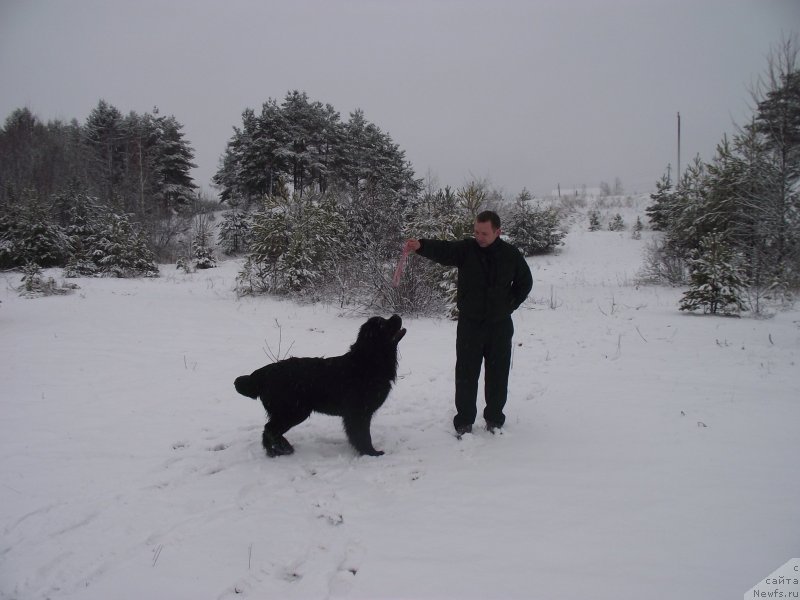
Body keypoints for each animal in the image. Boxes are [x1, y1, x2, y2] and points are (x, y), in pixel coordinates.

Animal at [233, 314, 406, 454]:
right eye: (383, 325)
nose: (396, 315)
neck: (368, 361)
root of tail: (264, 373)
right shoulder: (358, 413)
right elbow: (362, 435)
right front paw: (371, 452)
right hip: (293, 410)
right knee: (269, 430)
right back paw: (281, 449)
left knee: (269, 431)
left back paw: (276, 450)